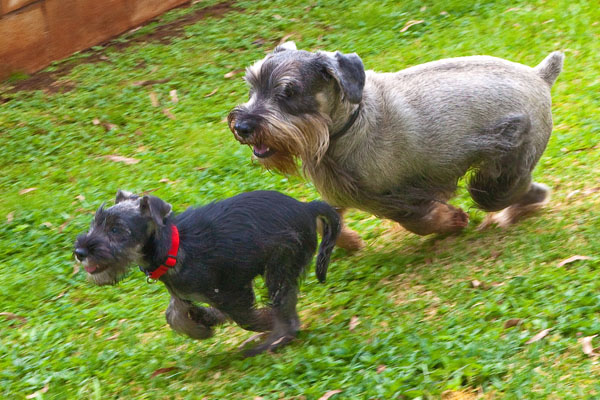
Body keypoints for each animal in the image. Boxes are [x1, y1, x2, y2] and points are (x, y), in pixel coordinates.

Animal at [72, 191, 340, 356]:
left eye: (116, 230)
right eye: (95, 224)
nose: (80, 251)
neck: (173, 248)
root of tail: (307, 208)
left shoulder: (233, 292)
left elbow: (248, 318)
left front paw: (263, 322)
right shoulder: (183, 295)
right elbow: (174, 315)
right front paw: (202, 327)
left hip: (279, 268)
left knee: (287, 317)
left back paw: (271, 342)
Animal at [227, 43, 564, 250]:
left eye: (288, 92)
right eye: (252, 85)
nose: (242, 127)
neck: (349, 125)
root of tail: (538, 75)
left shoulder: (398, 196)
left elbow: (420, 221)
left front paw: (452, 220)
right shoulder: (342, 192)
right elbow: (322, 219)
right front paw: (349, 242)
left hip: (501, 167)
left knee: (514, 190)